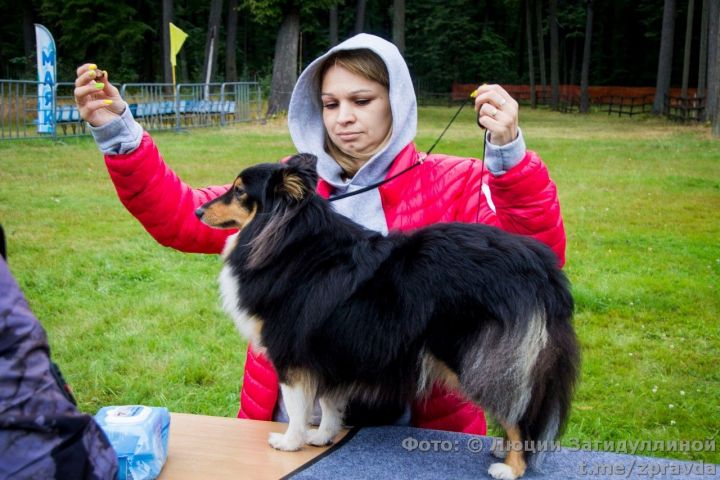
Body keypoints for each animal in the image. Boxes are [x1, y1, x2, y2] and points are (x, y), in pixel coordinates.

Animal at [195, 155, 580, 480]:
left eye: (240, 191)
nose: (198, 210)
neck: (286, 240)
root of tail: (541, 269)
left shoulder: (292, 354)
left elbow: (299, 404)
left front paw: (290, 442)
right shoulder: (332, 350)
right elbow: (329, 401)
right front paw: (324, 436)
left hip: (474, 354)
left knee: (516, 411)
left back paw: (512, 467)